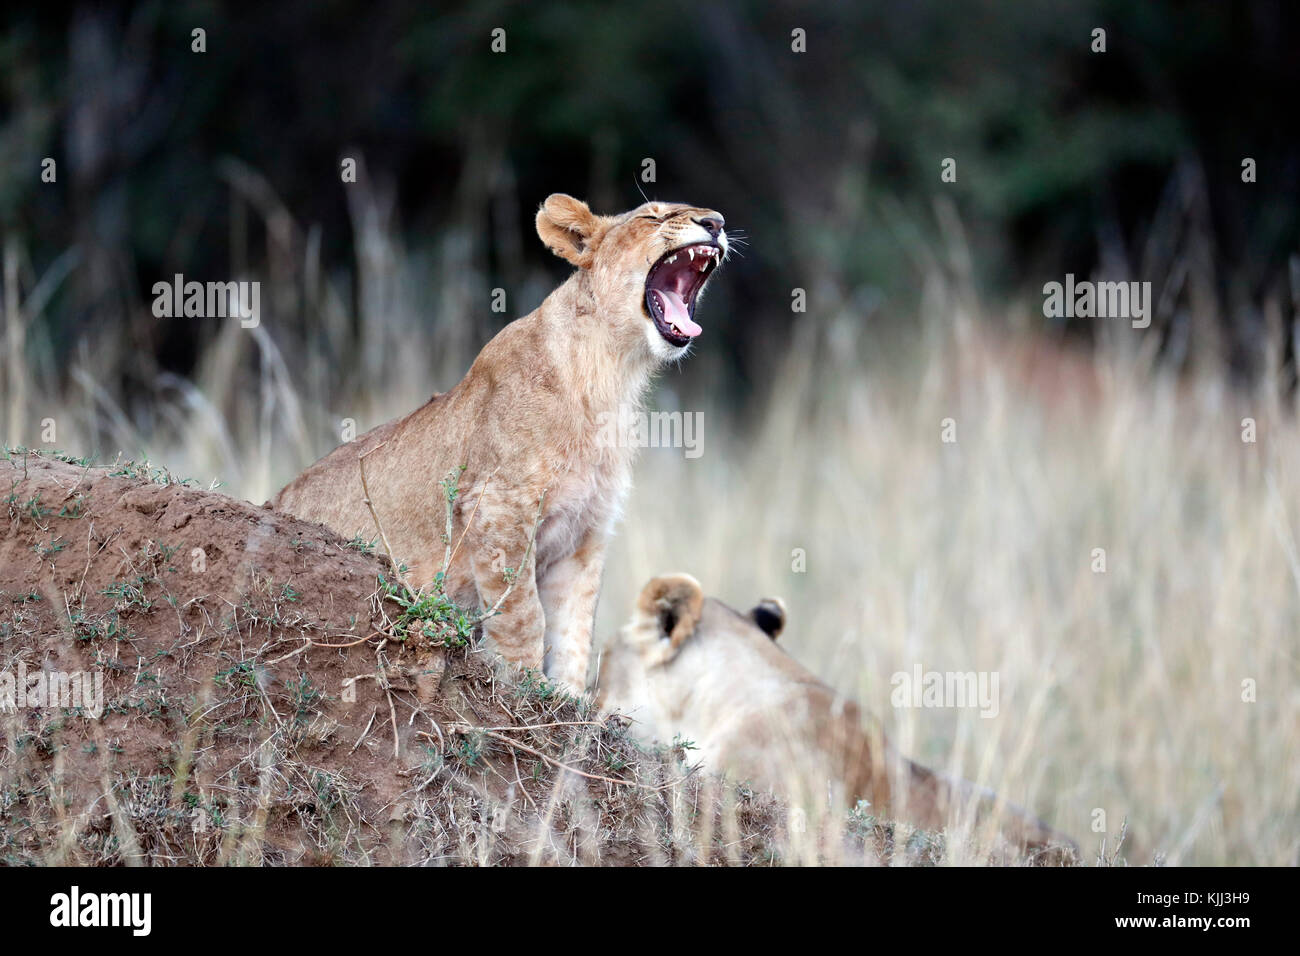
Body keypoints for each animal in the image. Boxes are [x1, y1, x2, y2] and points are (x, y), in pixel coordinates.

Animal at [273, 196, 728, 693]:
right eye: (653, 215)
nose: (717, 223)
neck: (611, 370)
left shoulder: (585, 534)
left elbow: (574, 629)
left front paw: (566, 700)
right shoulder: (497, 504)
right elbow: (523, 613)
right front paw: (523, 682)